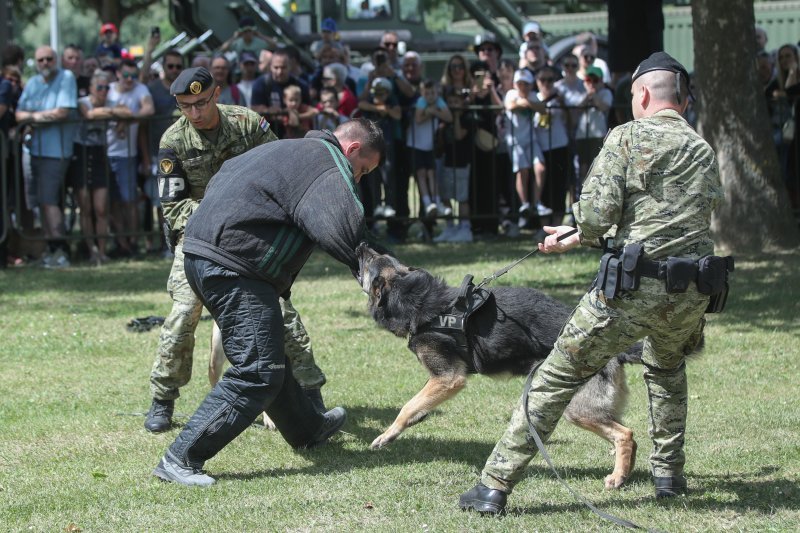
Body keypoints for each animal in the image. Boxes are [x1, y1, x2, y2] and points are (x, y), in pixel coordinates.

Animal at [356, 243, 644, 488]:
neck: (412, 299)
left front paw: (387, 435)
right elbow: (417, 402)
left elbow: (406, 406)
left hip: (577, 409)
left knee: (626, 434)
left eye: (369, 262)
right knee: (627, 435)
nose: (361, 244)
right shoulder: (438, 378)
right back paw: (624, 472)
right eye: (377, 256)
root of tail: (618, 351)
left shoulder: (448, 378)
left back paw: (617, 477)